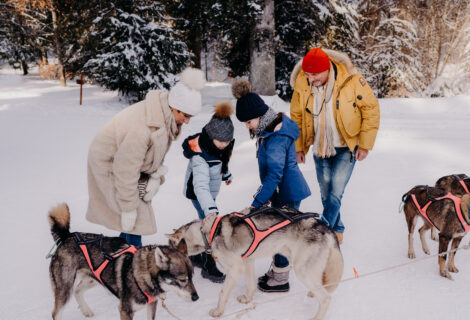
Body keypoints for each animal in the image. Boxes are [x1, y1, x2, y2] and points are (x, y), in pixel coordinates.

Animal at [48, 204, 199, 318]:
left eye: (192, 278)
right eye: (182, 280)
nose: (196, 298)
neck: (144, 276)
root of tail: (67, 236)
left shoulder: (152, 304)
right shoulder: (125, 311)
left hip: (94, 279)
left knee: (77, 291)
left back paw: (87, 311)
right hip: (65, 288)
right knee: (56, 312)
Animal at [167, 208, 344, 320]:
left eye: (170, 250)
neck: (208, 232)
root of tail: (326, 228)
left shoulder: (235, 269)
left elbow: (222, 293)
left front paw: (218, 312)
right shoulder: (247, 261)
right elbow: (250, 283)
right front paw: (247, 299)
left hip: (302, 270)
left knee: (326, 298)